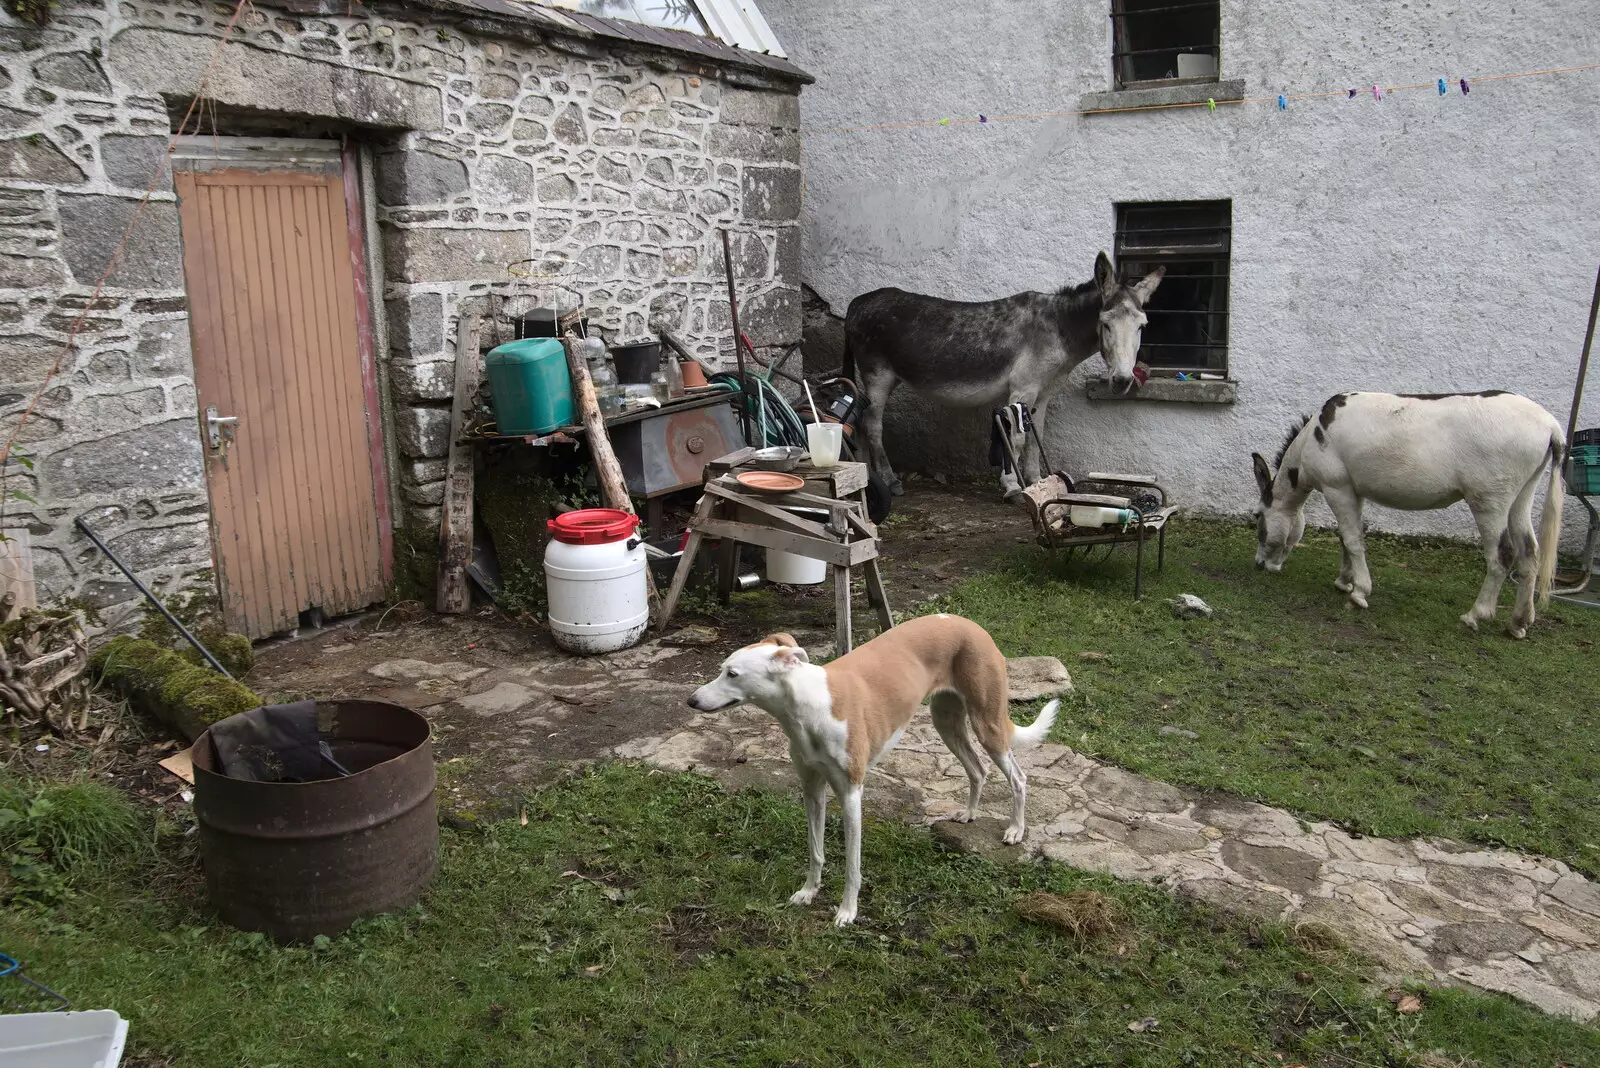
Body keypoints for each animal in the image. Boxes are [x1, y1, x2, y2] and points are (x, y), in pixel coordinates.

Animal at [684, 613, 1049, 920]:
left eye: (732, 673)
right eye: (722, 668)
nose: (691, 701)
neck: (809, 708)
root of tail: (968, 623)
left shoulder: (850, 794)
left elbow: (852, 865)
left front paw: (847, 911)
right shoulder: (812, 789)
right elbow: (815, 850)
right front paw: (808, 892)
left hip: (987, 723)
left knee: (1018, 777)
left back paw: (1015, 830)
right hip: (947, 722)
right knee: (978, 769)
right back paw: (970, 813)